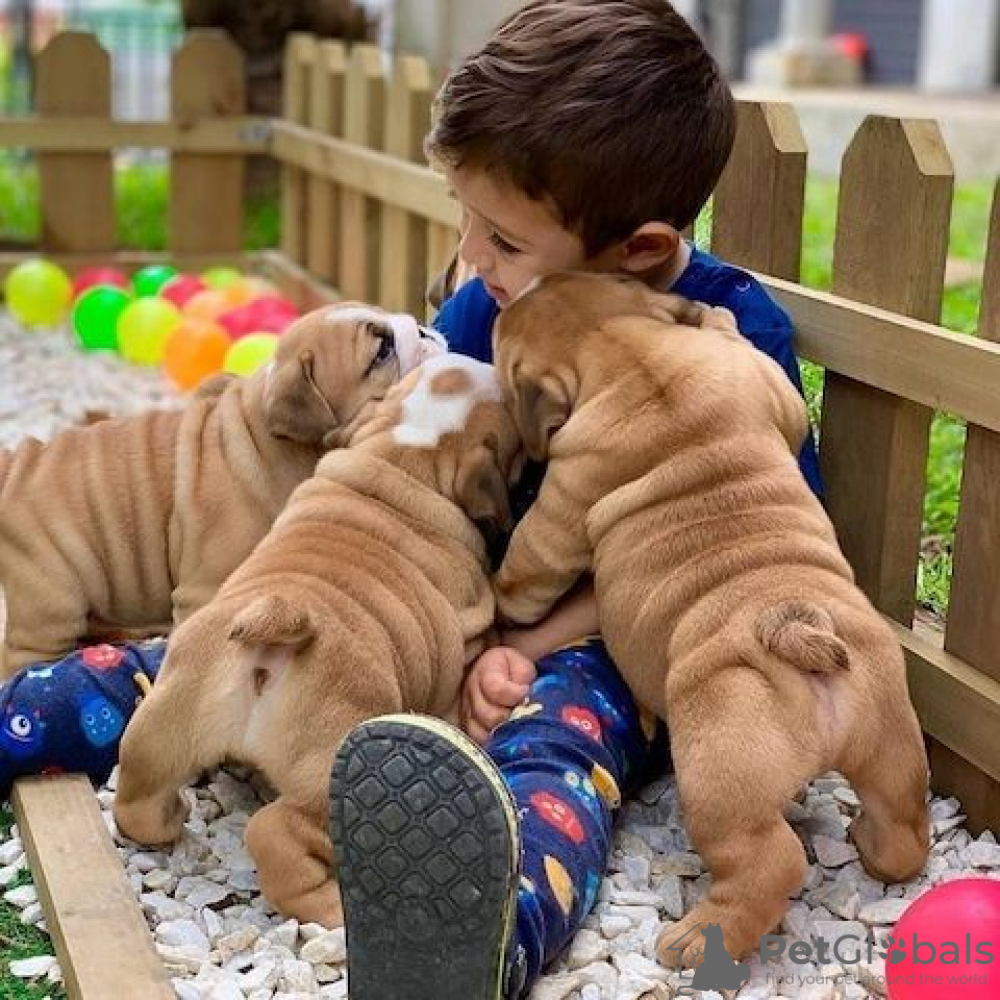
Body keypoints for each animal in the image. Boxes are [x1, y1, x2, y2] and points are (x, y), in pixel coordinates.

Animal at [0, 303, 445, 677]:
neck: (273, 441)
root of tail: (20, 461)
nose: (424, 328)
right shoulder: (204, 590)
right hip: (52, 601)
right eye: (381, 350)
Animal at [112, 352, 522, 926]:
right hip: (330, 770)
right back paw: (326, 905)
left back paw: (167, 816)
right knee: (276, 833)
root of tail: (276, 628)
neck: (404, 455)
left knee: (138, 784)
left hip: (169, 717)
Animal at [490, 272, 930, 967]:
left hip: (720, 772)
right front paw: (715, 316)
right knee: (902, 824)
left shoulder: (564, 498)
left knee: (769, 863)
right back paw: (872, 843)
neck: (619, 348)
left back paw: (696, 940)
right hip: (889, 736)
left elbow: (529, 566)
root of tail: (791, 631)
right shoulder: (762, 385)